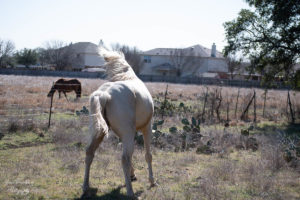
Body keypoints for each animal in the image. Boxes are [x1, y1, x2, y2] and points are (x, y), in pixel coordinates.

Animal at [83, 48, 156, 197]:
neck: (128, 76)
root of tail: (105, 94)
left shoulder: (123, 135)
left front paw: (133, 175)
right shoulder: (146, 128)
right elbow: (148, 155)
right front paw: (152, 181)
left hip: (98, 133)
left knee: (89, 153)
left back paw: (86, 186)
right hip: (128, 132)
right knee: (125, 159)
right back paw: (130, 192)